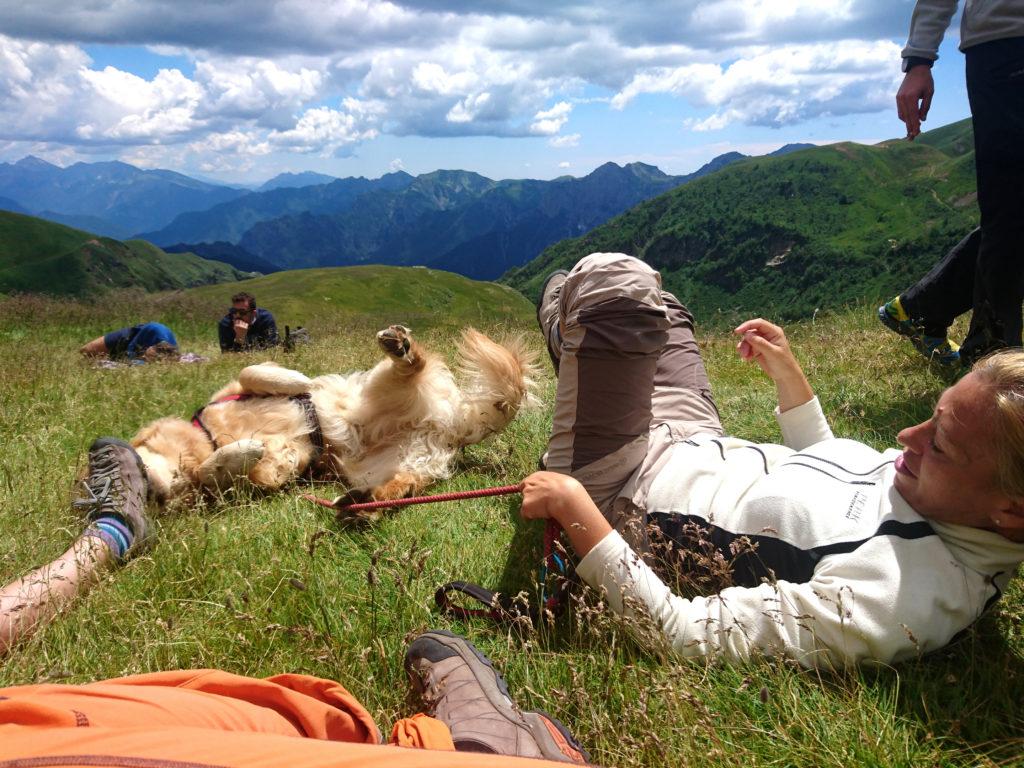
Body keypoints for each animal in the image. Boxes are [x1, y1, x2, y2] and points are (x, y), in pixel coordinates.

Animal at [128, 325, 536, 518]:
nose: (150, 490)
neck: (209, 437)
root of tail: (449, 426)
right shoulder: (269, 474)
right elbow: (227, 472)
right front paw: (242, 452)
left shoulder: (235, 388)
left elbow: (253, 371)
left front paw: (298, 382)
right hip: (392, 460)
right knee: (400, 484)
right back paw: (360, 505)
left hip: (381, 388)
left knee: (412, 366)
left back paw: (401, 348)